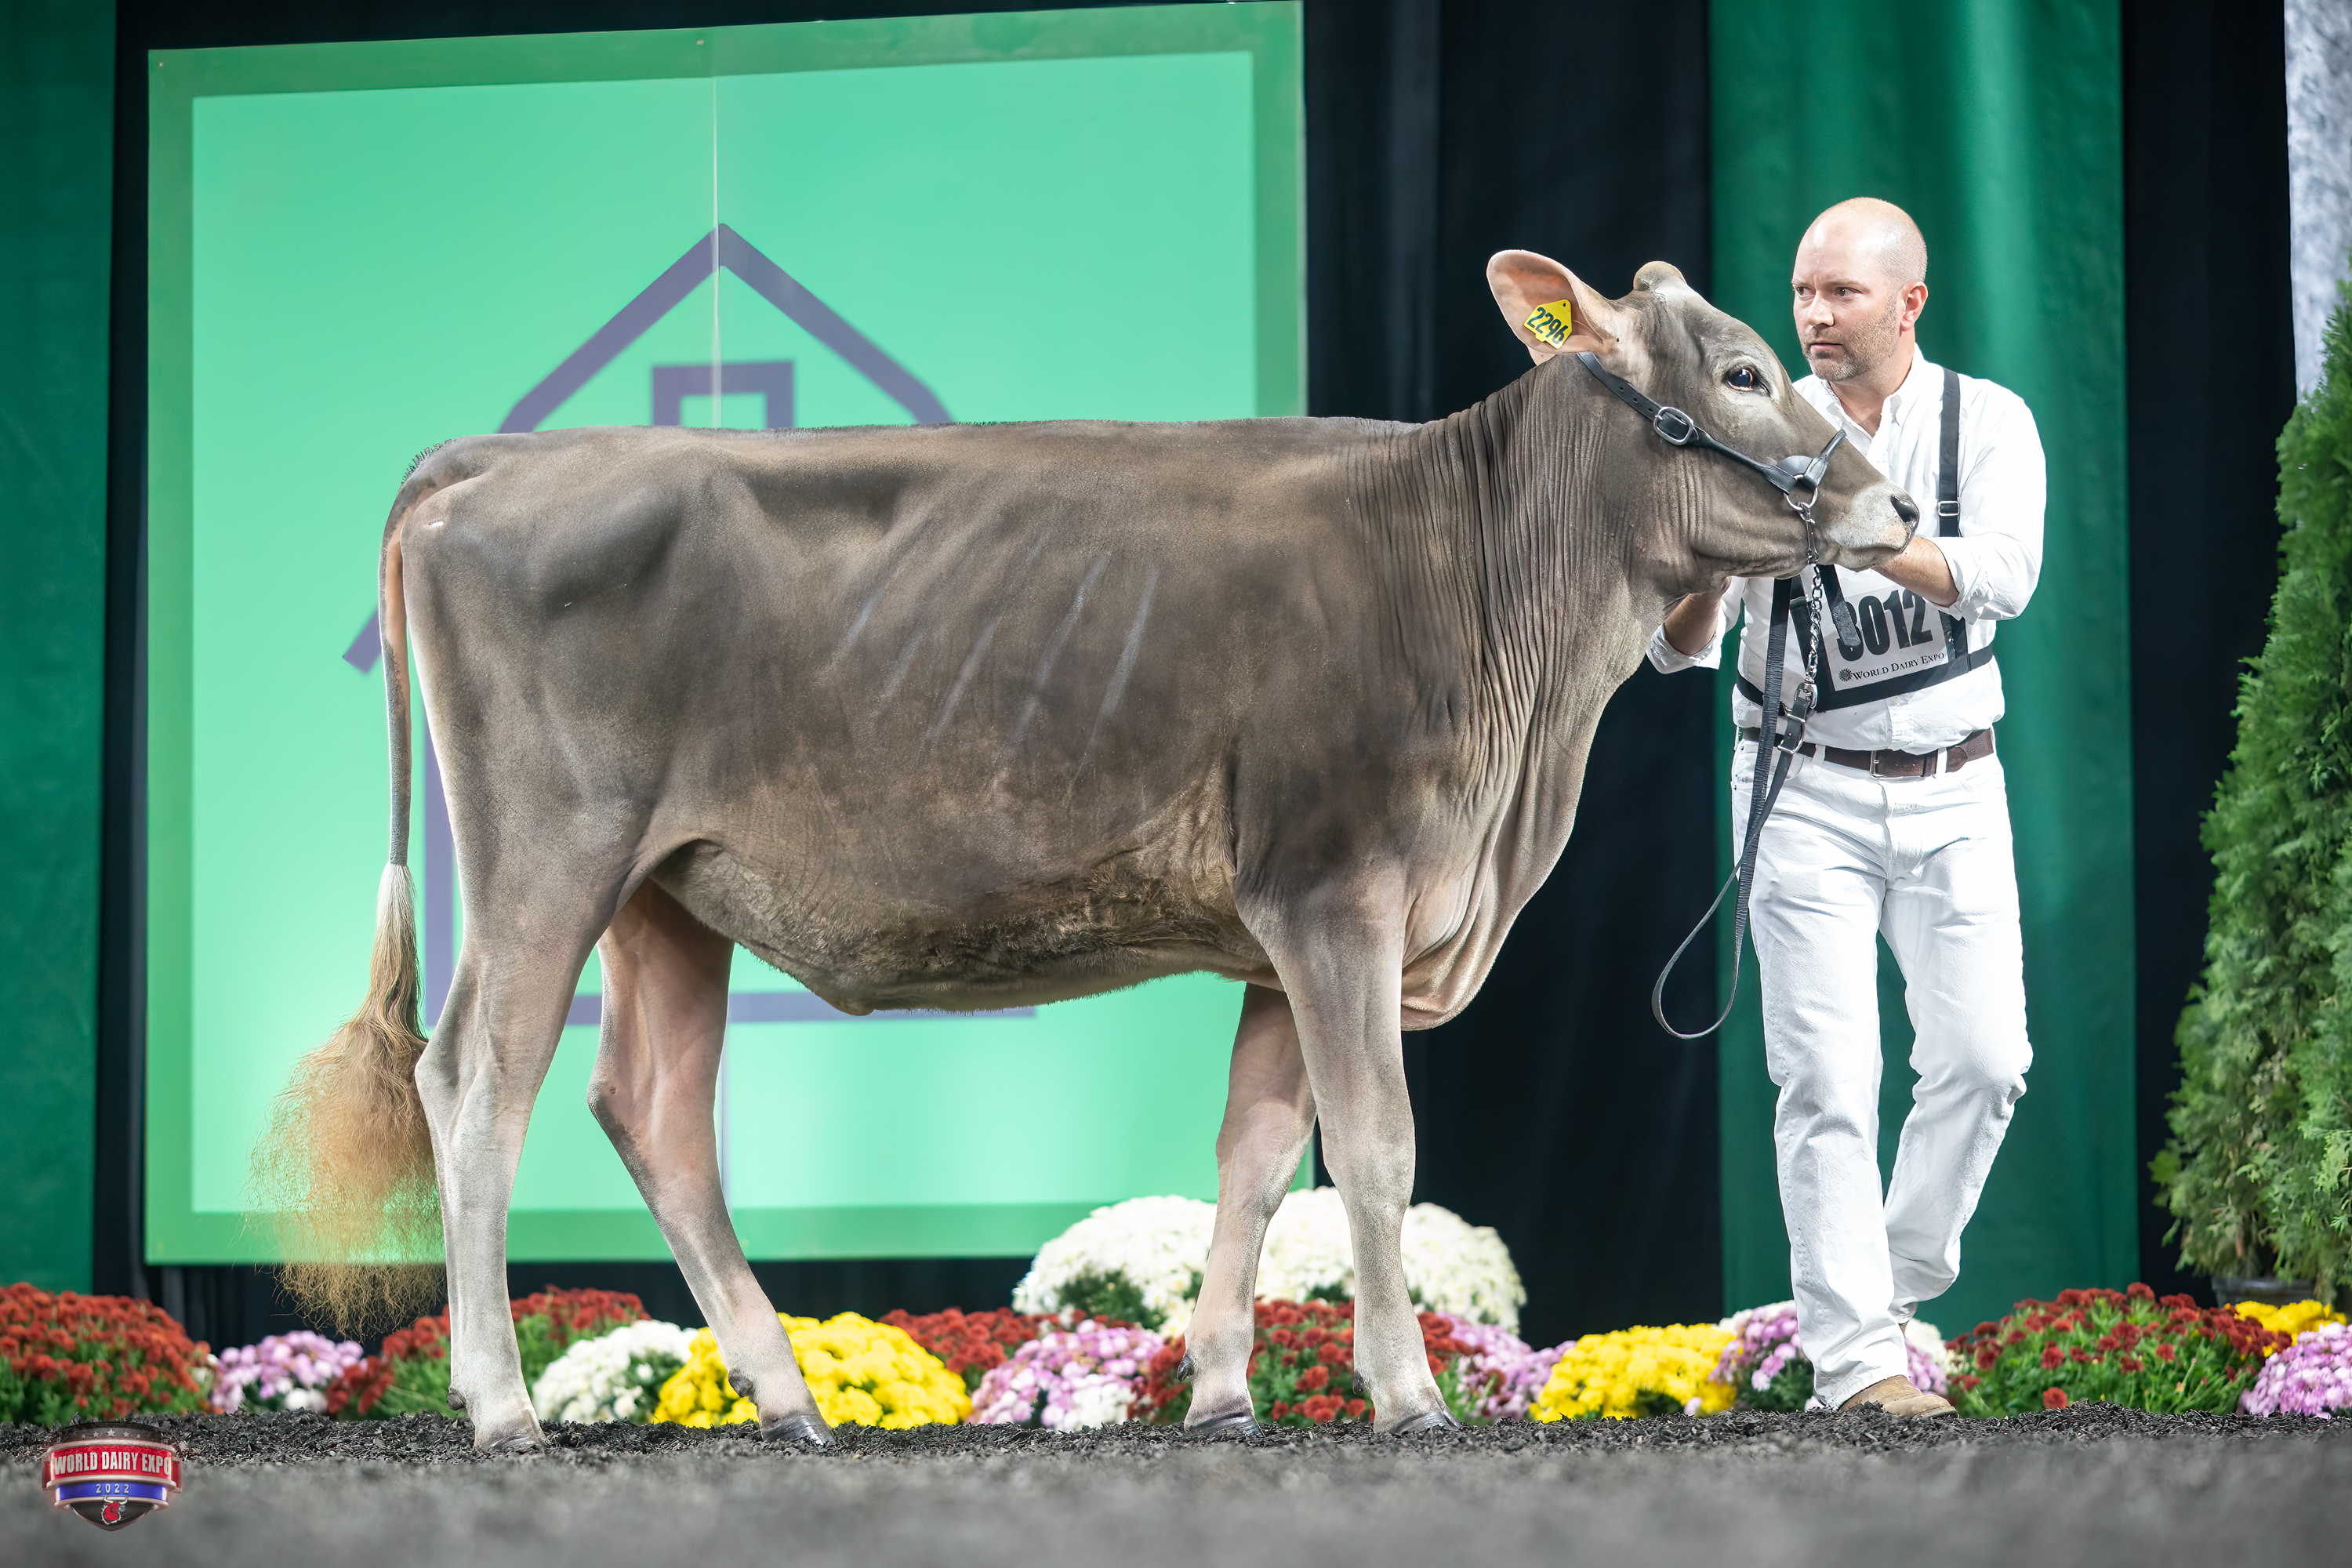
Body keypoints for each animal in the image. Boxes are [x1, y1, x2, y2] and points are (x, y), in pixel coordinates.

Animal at [256, 251, 1914, 1450]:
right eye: (1745, 369)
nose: (1892, 502)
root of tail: (488, 464)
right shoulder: (1339, 892)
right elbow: (1375, 1149)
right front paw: (1410, 1395)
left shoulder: (1278, 931)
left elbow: (1258, 1156)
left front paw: (1224, 1394)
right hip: (551, 857)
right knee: (477, 1085)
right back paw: (504, 1409)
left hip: (671, 890)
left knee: (652, 1112)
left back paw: (788, 1400)